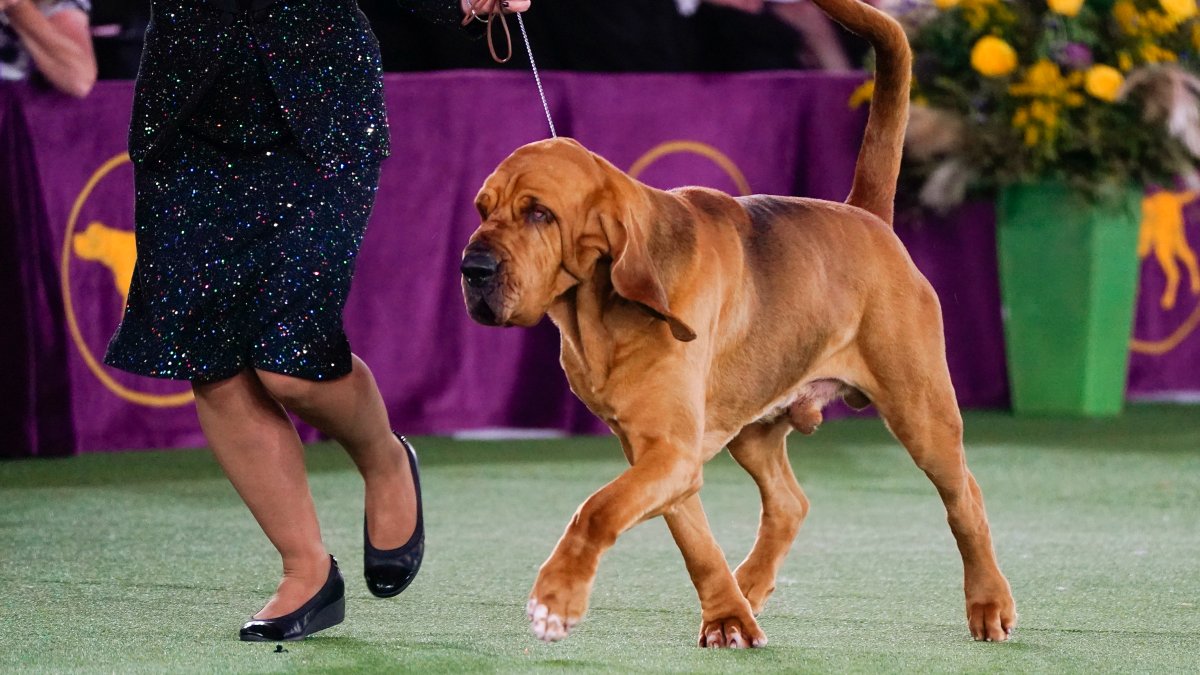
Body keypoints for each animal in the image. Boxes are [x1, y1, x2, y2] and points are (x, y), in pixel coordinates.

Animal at [458, 0, 1012, 648]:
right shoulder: (660, 455)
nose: (472, 268)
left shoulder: (669, 452)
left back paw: (989, 603)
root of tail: (865, 215)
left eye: (540, 214)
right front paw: (727, 616)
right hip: (755, 421)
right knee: (789, 503)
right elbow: (693, 541)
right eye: (481, 209)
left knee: (965, 498)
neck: (599, 311)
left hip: (920, 411)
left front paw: (556, 598)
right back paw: (749, 587)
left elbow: (594, 510)